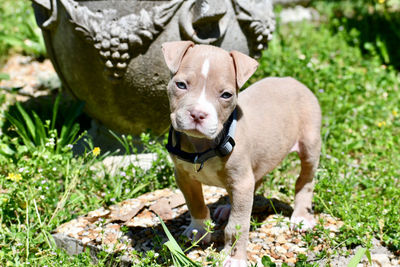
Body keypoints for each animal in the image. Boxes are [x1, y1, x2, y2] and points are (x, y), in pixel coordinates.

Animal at [161, 40, 320, 266]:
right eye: (181, 85)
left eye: (226, 95)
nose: (198, 114)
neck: (204, 146)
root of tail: (293, 80)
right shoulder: (184, 176)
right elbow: (196, 204)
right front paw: (198, 229)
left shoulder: (241, 181)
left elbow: (237, 225)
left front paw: (234, 257)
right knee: (256, 181)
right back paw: (227, 207)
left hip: (309, 143)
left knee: (305, 179)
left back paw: (301, 217)